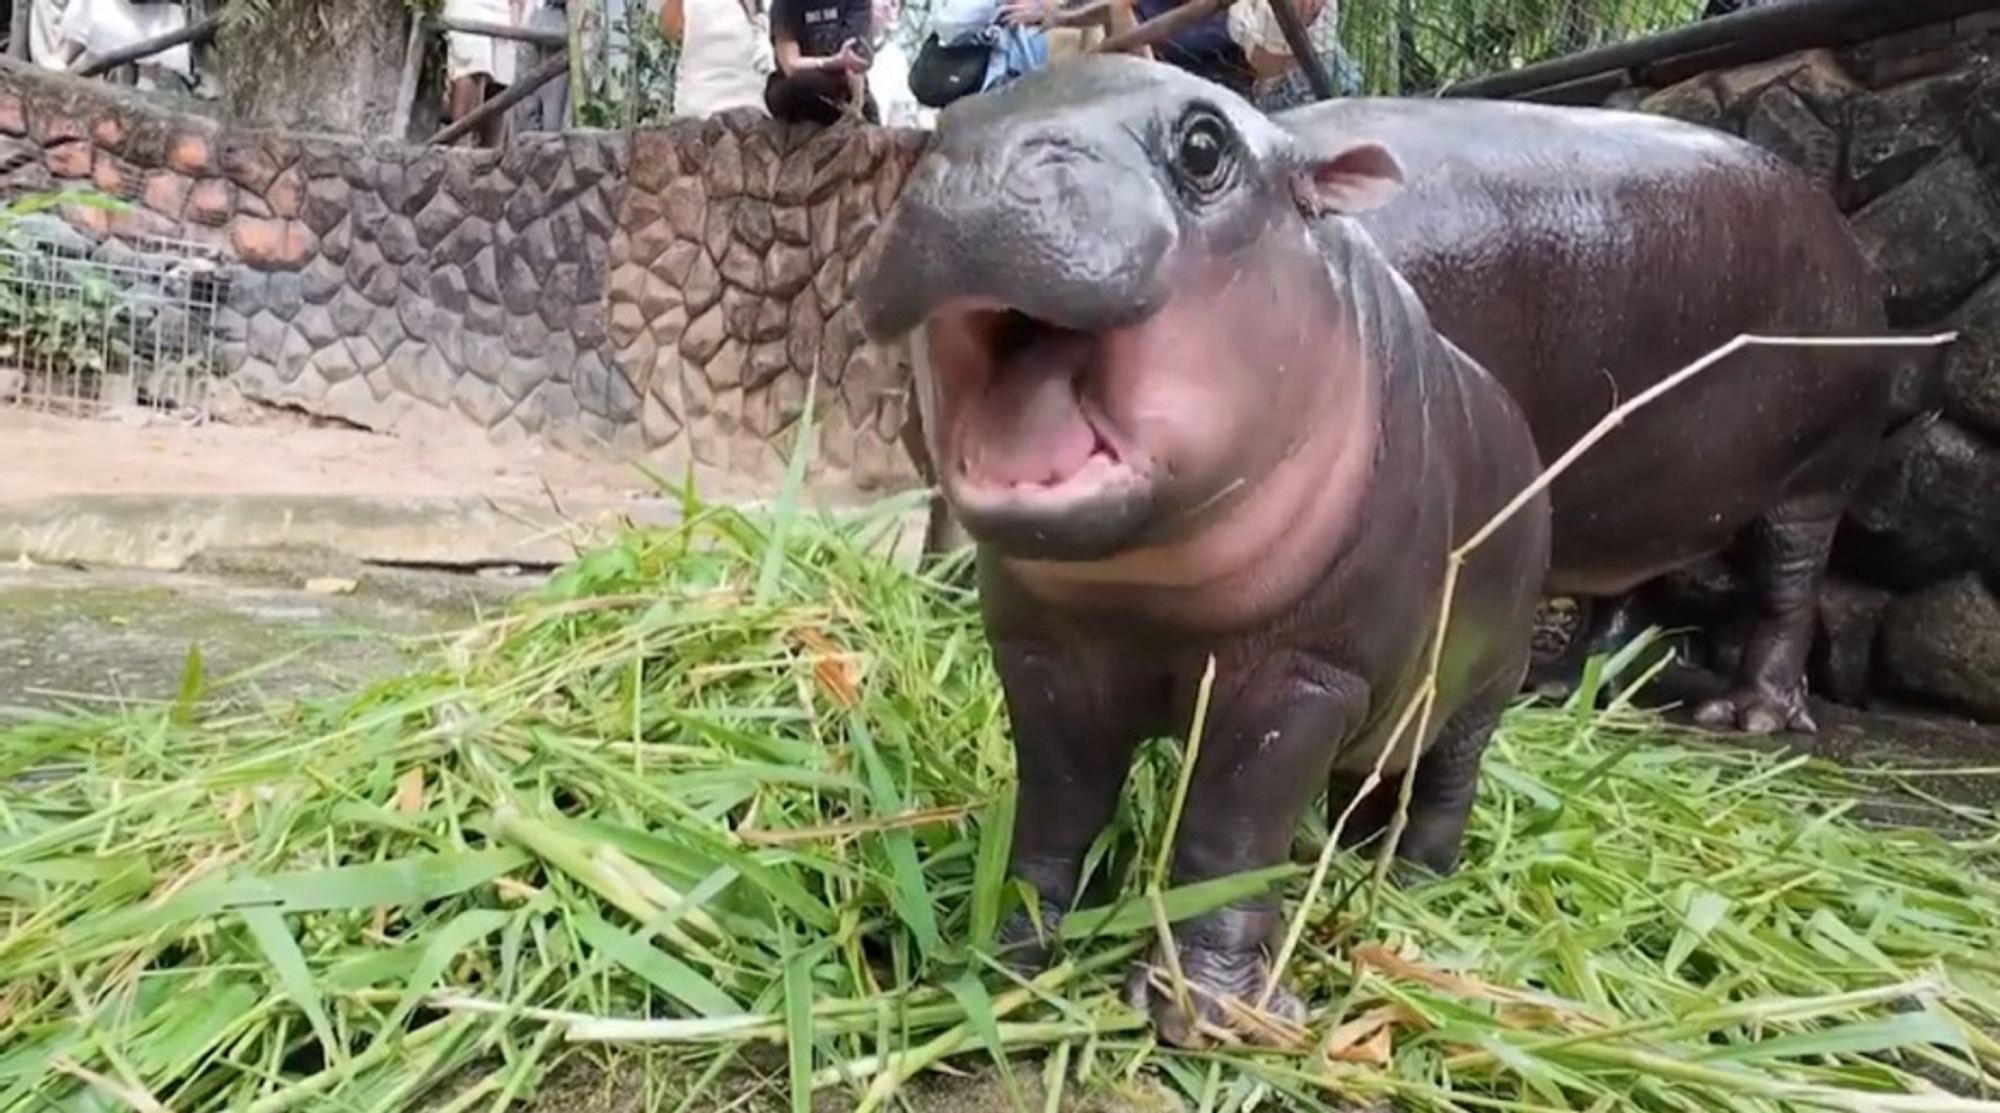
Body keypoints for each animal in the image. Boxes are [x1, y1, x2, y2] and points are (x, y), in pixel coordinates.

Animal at [852, 56, 1552, 1048]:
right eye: (952, 121)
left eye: (1204, 144)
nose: (978, 167)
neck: (1145, 594)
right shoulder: (1042, 654)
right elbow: (1058, 806)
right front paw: (1011, 953)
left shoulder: (1304, 679)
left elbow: (1231, 837)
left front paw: (1207, 1009)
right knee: (1368, 779)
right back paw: (1344, 860)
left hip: (1484, 687)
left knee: (1444, 785)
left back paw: (1413, 887)